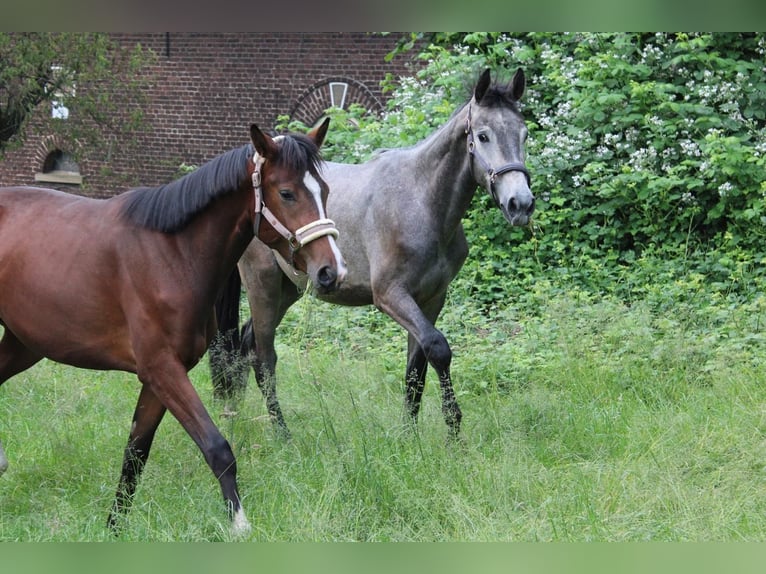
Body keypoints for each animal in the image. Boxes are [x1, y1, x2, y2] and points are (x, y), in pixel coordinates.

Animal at [0, 119, 344, 536]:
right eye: (287, 193)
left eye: (324, 190)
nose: (331, 271)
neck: (171, 254)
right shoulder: (162, 369)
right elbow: (217, 448)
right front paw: (239, 525)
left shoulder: (157, 378)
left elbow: (135, 455)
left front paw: (113, 528)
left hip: (23, 343)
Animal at [210, 70, 536, 440]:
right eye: (483, 136)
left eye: (524, 134)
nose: (521, 204)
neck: (421, 201)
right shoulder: (391, 295)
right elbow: (438, 348)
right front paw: (453, 426)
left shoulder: (431, 299)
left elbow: (416, 367)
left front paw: (410, 436)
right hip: (262, 284)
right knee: (264, 356)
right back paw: (280, 433)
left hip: (288, 289)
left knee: (246, 344)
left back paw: (236, 414)